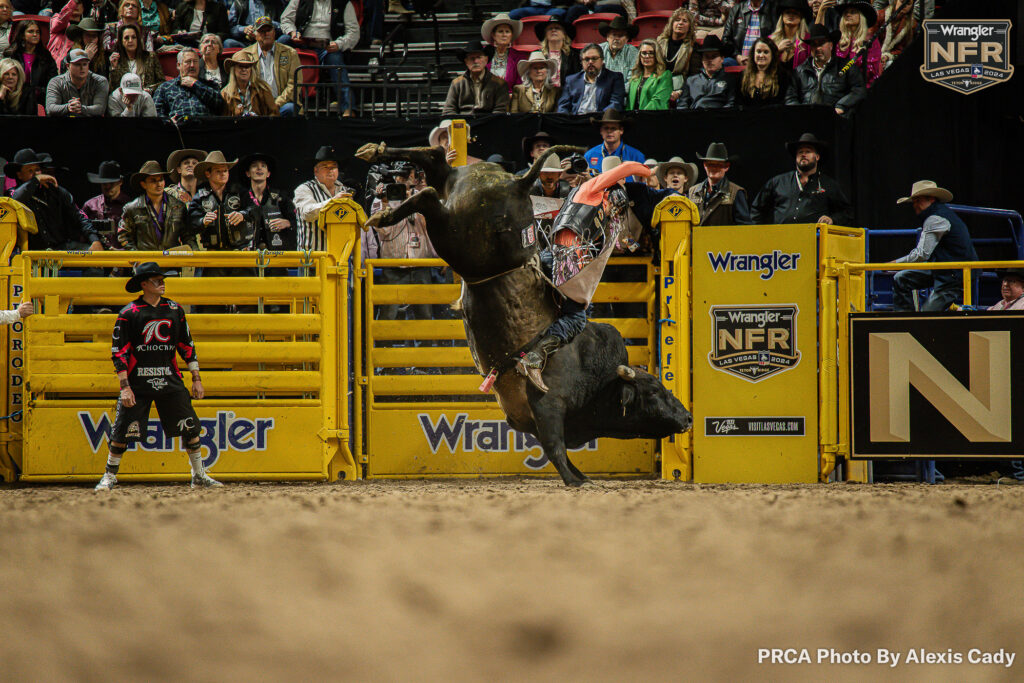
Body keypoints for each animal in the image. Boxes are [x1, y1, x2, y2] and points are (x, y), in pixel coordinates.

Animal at [356, 143, 692, 485]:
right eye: (654, 391)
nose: (689, 417)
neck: (601, 378)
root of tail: (518, 184)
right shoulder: (548, 406)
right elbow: (555, 448)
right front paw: (574, 481)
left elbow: (560, 451)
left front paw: (581, 476)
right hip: (460, 238)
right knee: (426, 195)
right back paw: (384, 212)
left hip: (453, 196)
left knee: (434, 160)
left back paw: (376, 159)